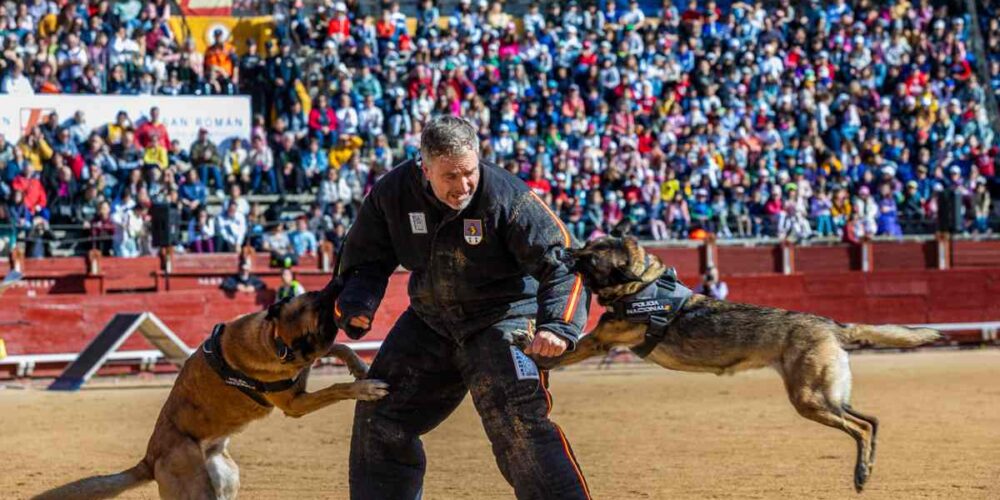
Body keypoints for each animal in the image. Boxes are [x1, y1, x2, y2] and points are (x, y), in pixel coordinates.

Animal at [35, 286, 388, 500]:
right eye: (318, 303)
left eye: (315, 294)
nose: (337, 283)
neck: (272, 337)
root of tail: (149, 458)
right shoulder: (295, 403)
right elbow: (337, 386)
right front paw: (365, 387)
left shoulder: (307, 367)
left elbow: (337, 348)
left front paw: (358, 364)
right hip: (195, 487)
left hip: (226, 477)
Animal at [540, 237, 936, 492]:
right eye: (587, 243)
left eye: (590, 257)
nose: (560, 250)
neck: (641, 286)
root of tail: (830, 324)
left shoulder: (599, 341)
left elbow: (559, 352)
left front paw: (534, 347)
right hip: (826, 394)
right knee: (871, 421)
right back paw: (866, 469)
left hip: (810, 398)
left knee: (862, 427)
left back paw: (861, 474)